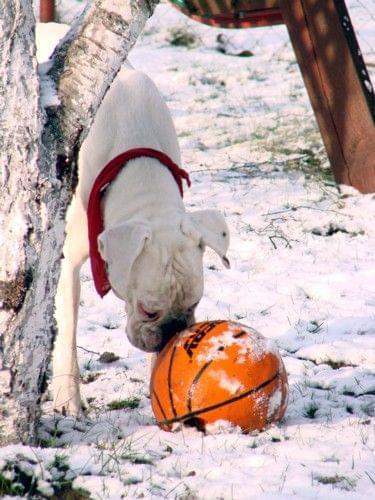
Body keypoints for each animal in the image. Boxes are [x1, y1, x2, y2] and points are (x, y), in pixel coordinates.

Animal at [51, 62, 231, 416]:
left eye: (194, 304)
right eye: (149, 311)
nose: (172, 333)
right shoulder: (66, 266)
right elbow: (67, 333)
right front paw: (68, 399)